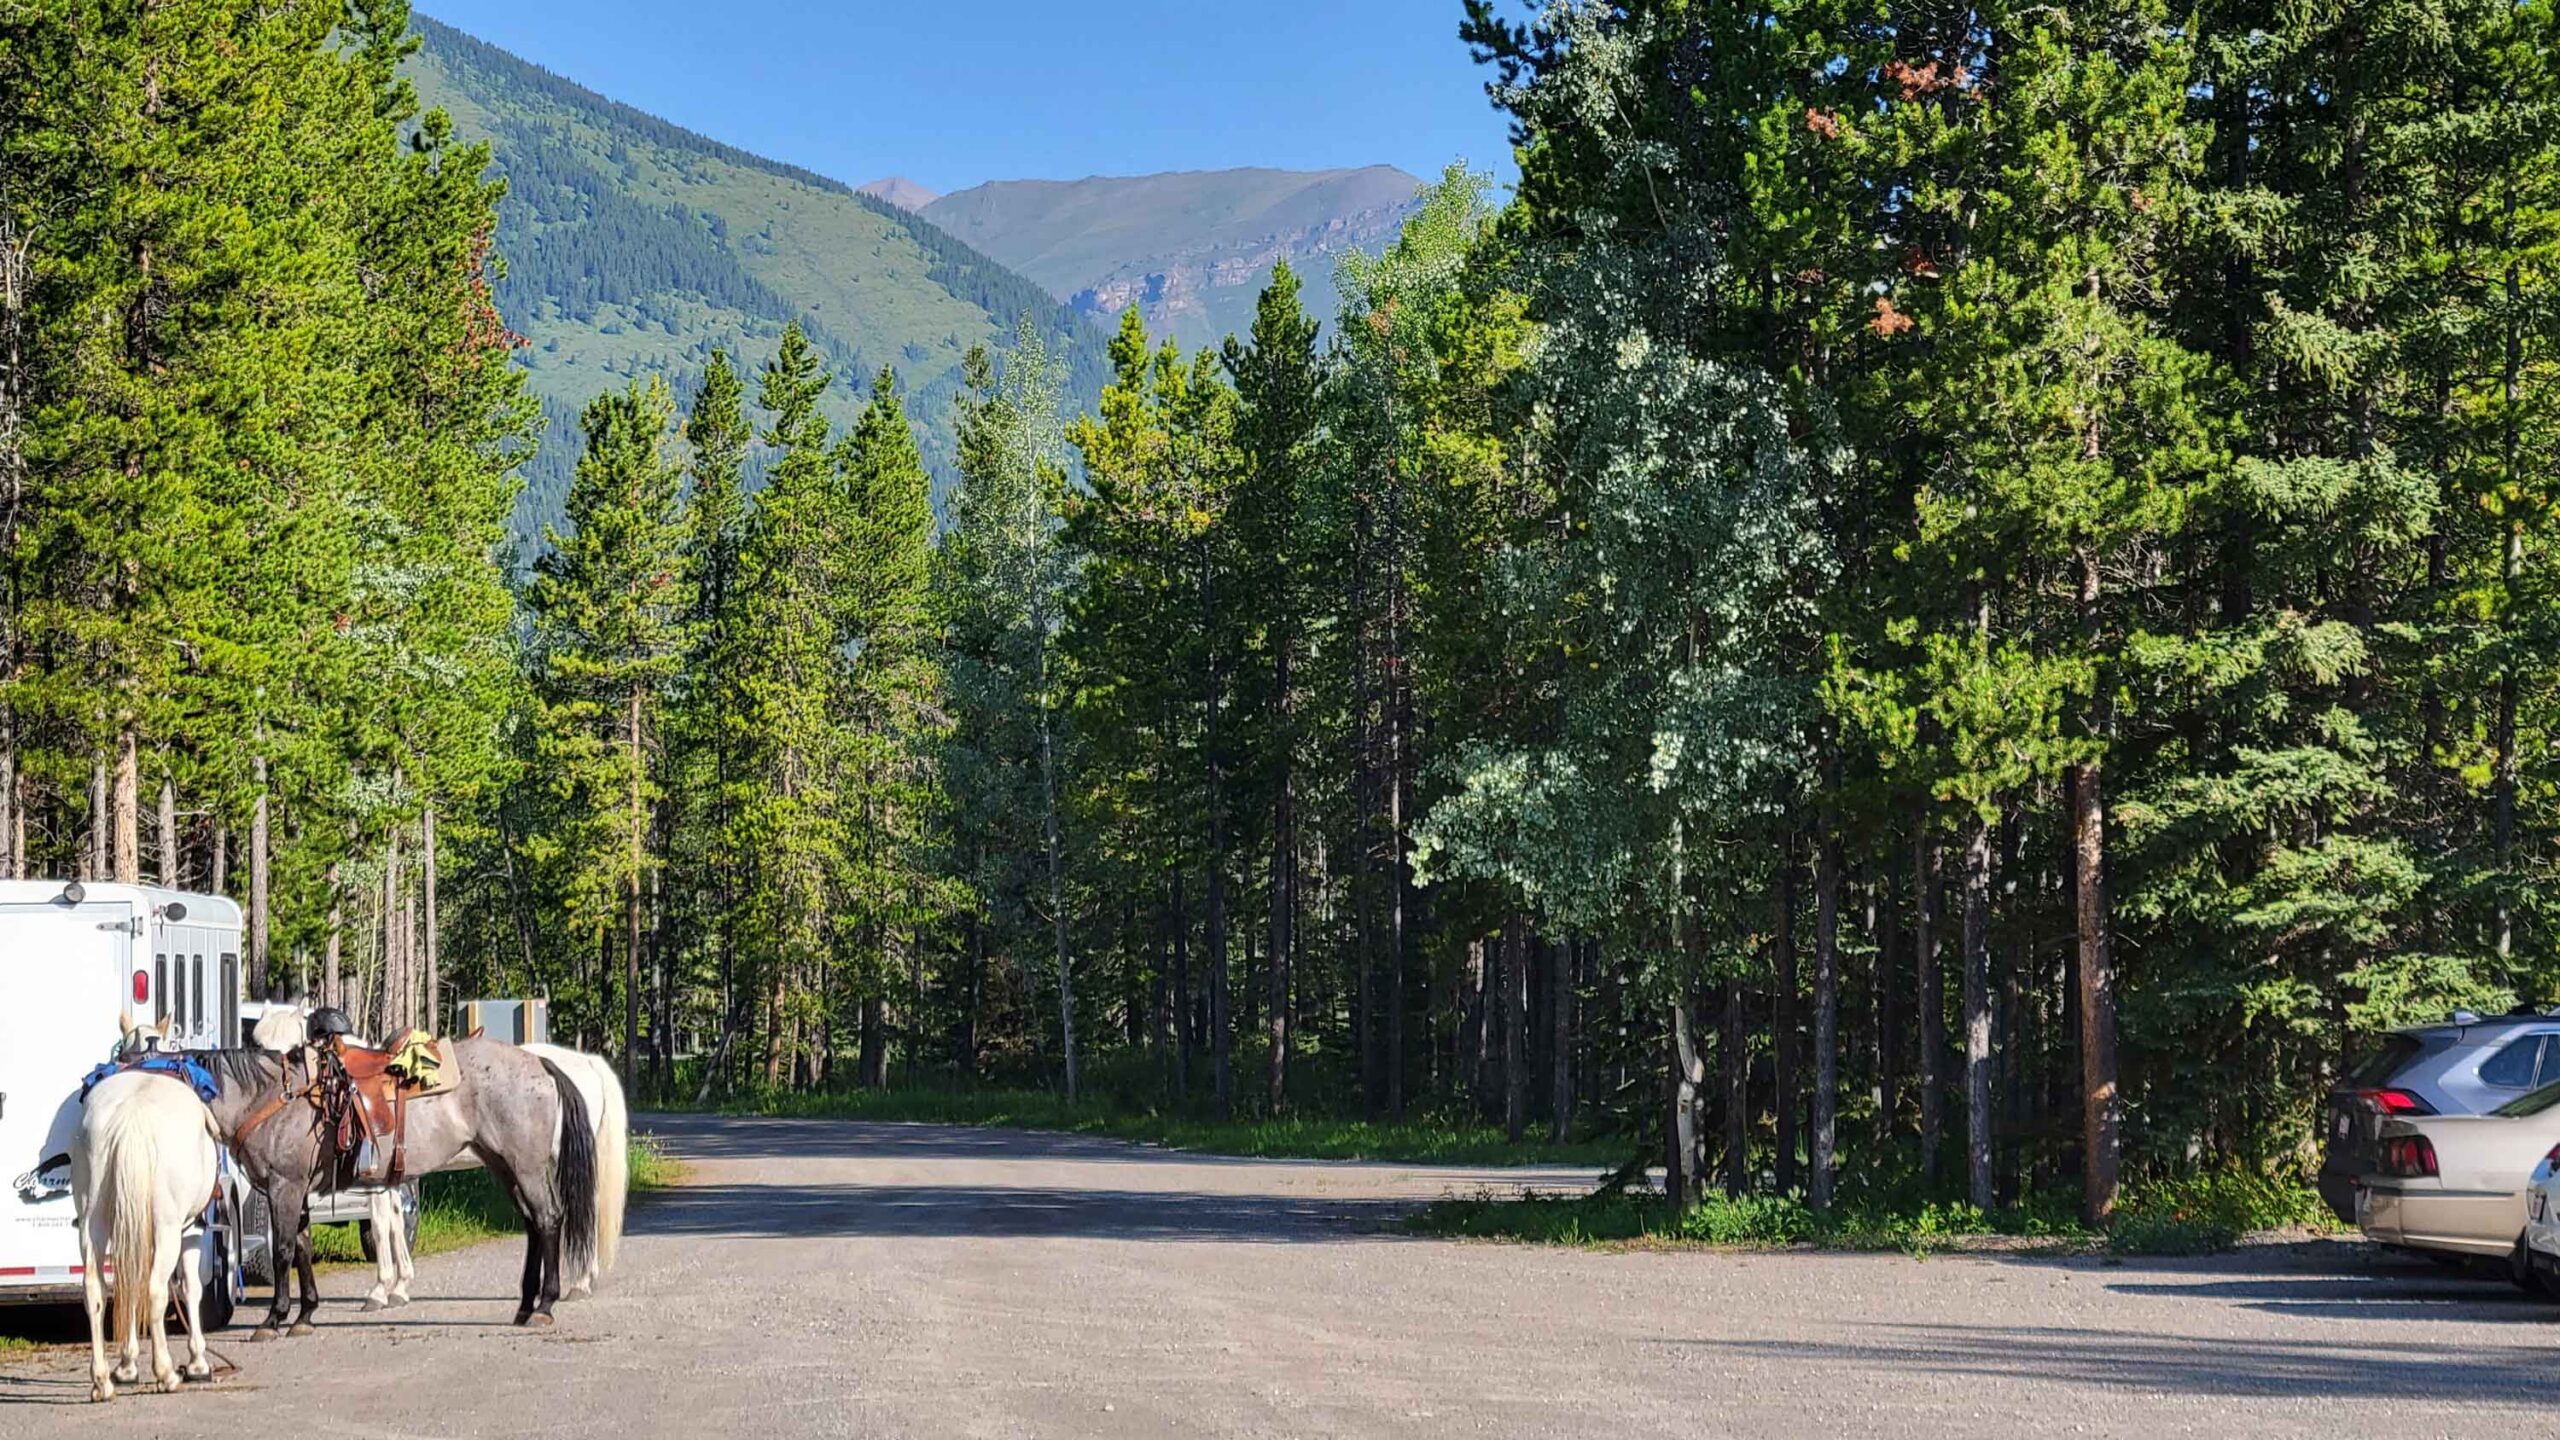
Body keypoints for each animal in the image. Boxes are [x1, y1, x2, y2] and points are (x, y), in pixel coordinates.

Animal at [72, 1067, 219, 1402]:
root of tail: (132, 1114)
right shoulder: (193, 1231)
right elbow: (191, 1288)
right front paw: (198, 1362)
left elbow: (129, 1288)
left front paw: (127, 1366)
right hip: (168, 1228)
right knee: (155, 1290)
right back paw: (166, 1373)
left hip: (92, 1221)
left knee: (95, 1289)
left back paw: (102, 1381)